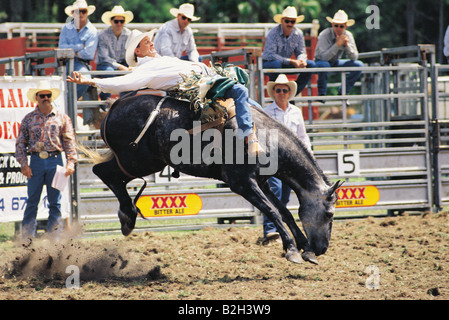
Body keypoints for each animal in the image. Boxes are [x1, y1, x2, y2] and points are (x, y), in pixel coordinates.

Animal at [86, 93, 342, 264]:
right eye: (330, 214)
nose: (323, 248)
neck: (263, 137)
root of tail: (115, 105)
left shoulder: (261, 182)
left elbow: (284, 210)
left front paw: (304, 246)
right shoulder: (241, 183)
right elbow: (273, 211)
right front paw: (292, 250)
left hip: (144, 161)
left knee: (109, 175)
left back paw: (127, 216)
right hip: (136, 160)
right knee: (102, 172)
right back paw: (127, 216)